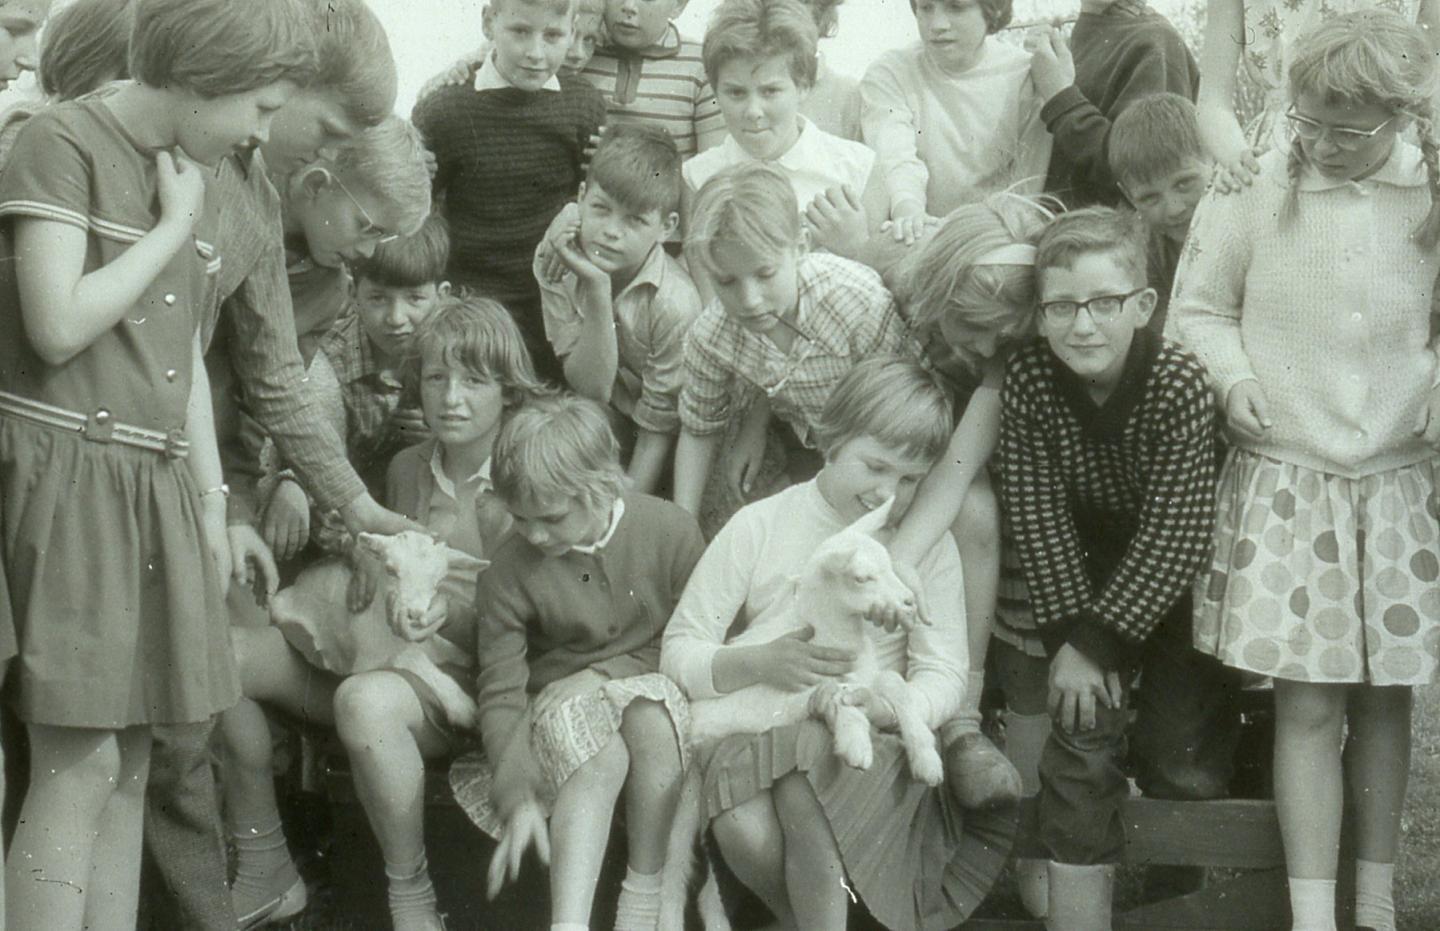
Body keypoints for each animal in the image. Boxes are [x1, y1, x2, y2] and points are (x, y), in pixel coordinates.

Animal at [685, 503, 944, 788]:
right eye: (861, 578)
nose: (909, 600)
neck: (830, 633)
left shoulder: (866, 676)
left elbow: (894, 683)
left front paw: (927, 760)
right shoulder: (780, 704)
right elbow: (837, 692)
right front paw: (856, 746)